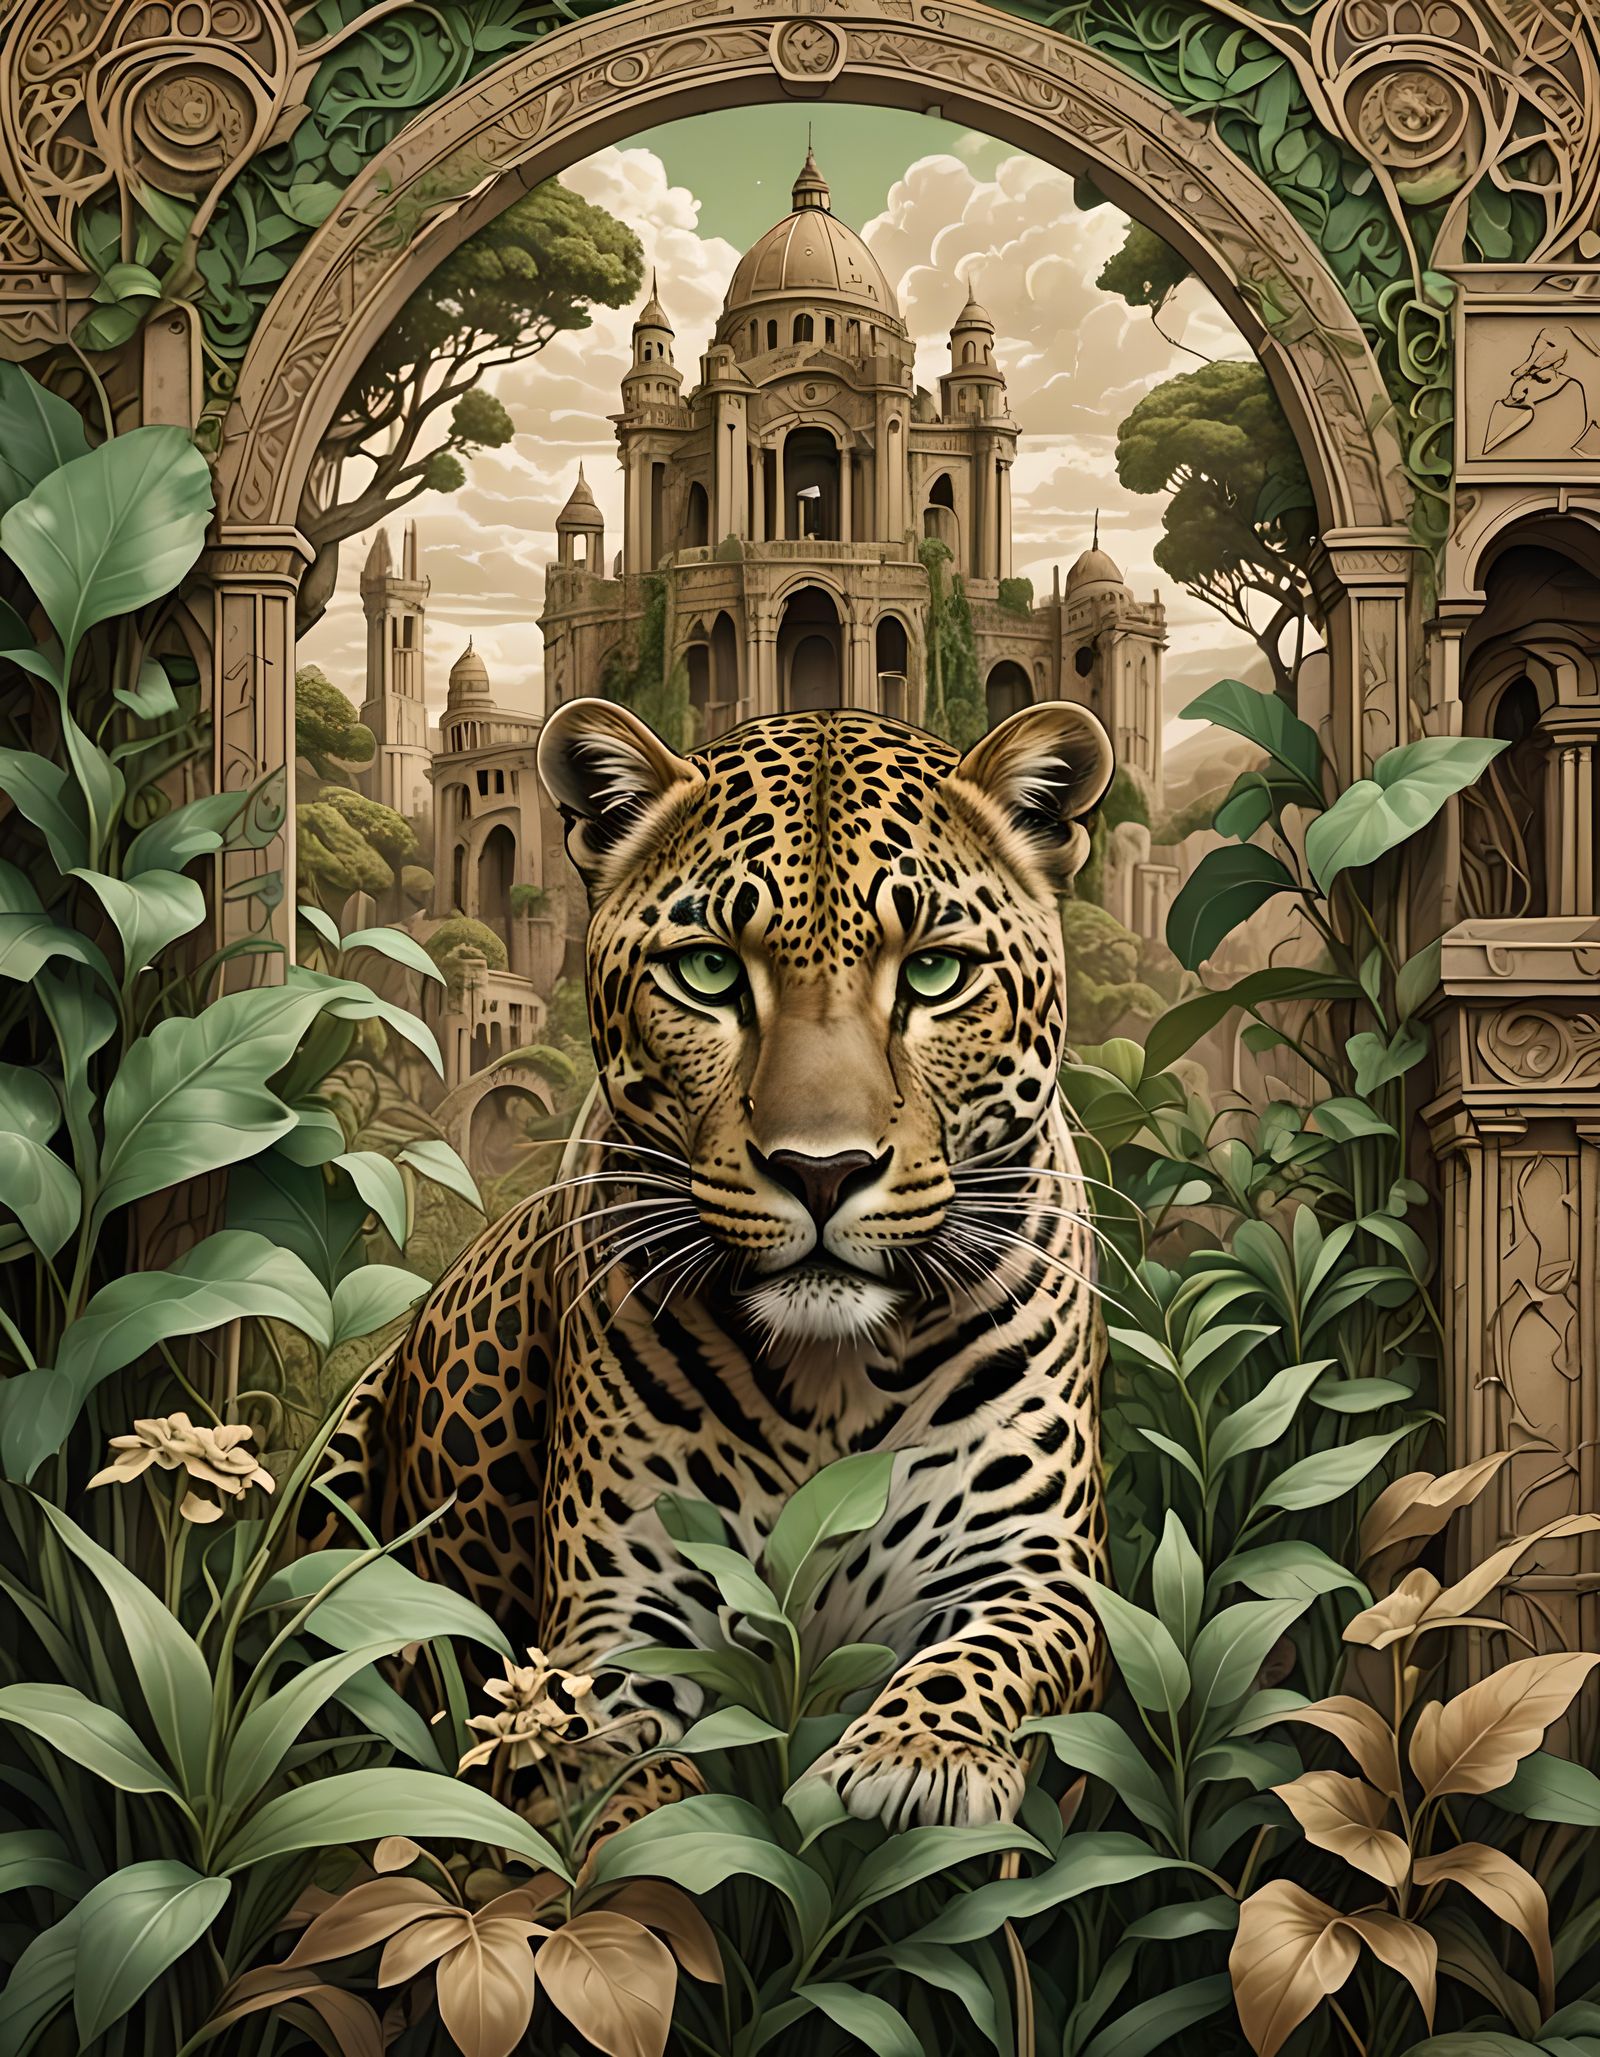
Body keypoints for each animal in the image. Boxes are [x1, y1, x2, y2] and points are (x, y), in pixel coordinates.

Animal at [330, 693, 1116, 1831]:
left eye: (935, 971)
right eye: (707, 971)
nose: (822, 1171)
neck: (834, 1376)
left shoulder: (1040, 1567)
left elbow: (986, 1656)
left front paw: (918, 1756)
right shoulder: (622, 1607)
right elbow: (608, 1754)